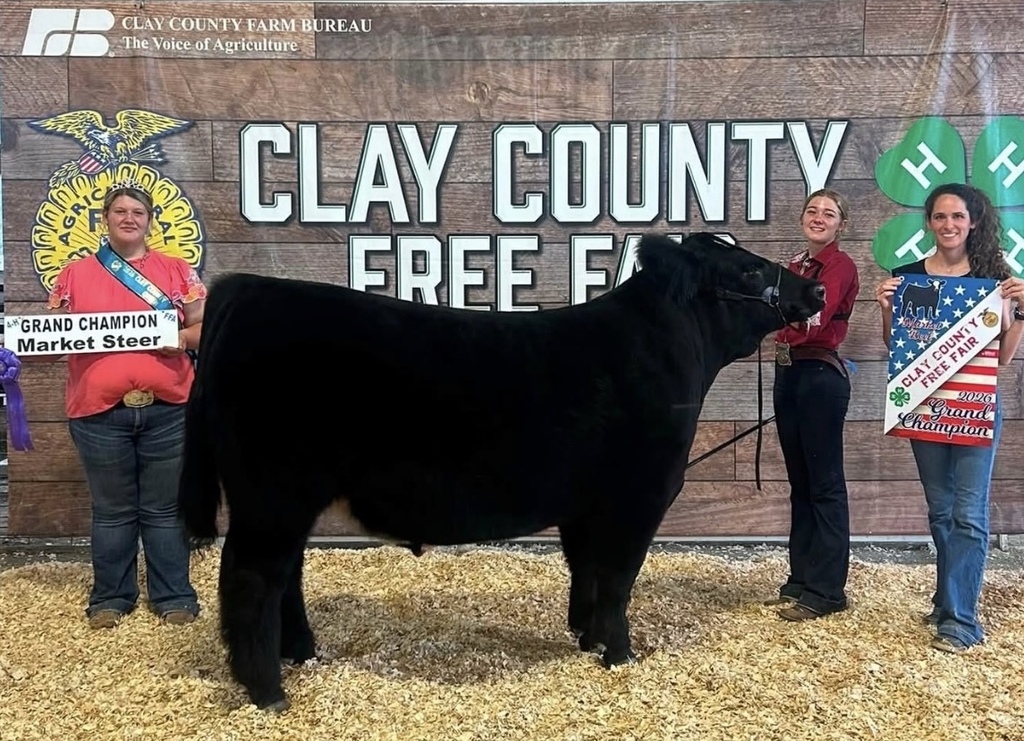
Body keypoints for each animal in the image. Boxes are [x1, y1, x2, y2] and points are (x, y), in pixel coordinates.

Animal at [178, 232, 826, 712]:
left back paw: (303, 653)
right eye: (747, 272)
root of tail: (249, 289)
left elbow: (587, 572)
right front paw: (620, 654)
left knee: (285, 577)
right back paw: (268, 691)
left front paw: (586, 638)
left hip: (288, 502)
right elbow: (618, 579)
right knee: (251, 580)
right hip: (272, 497)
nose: (815, 286)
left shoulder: (584, 506)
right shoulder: (639, 495)